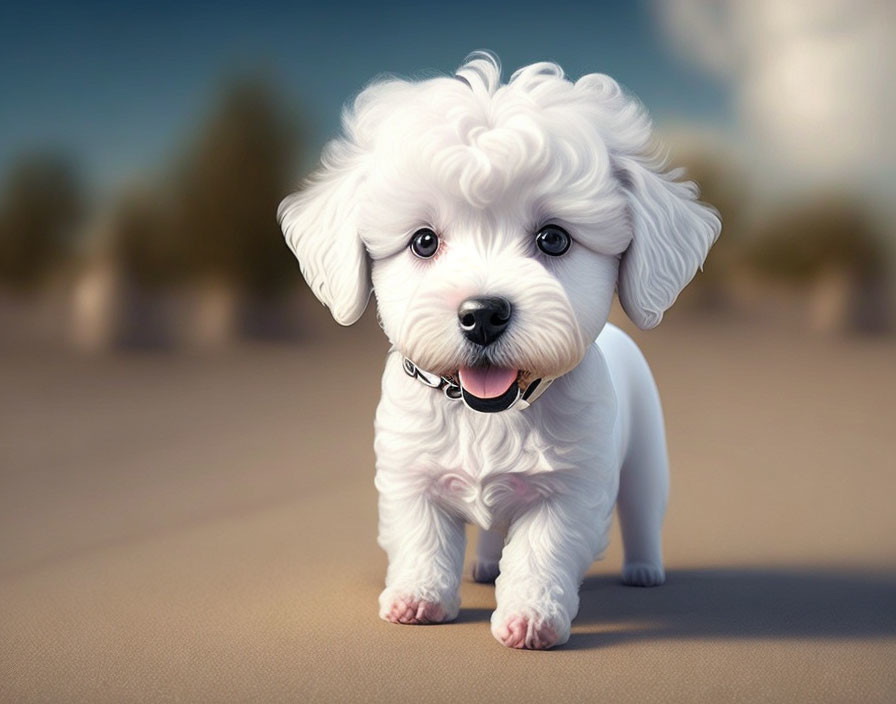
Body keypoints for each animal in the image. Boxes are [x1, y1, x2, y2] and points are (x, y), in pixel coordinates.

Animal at [280, 53, 720, 648]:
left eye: (554, 239)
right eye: (423, 241)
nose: (483, 314)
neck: (487, 415)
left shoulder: (570, 489)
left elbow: (542, 552)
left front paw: (532, 617)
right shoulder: (408, 474)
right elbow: (421, 538)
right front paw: (418, 597)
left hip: (647, 457)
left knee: (642, 510)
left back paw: (645, 570)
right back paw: (486, 564)